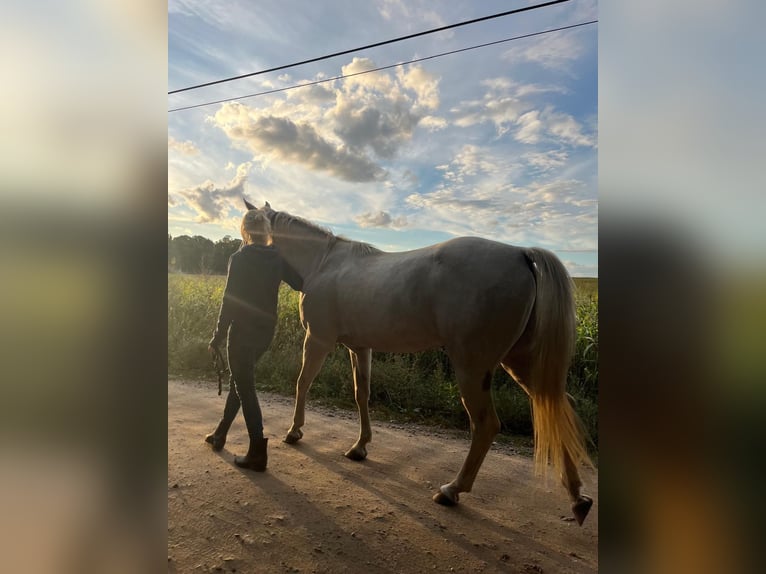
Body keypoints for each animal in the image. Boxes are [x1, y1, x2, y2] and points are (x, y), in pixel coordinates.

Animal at [244, 199, 592, 528]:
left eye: (248, 232)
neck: (323, 262)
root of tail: (520, 253)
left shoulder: (318, 340)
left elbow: (302, 383)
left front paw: (294, 431)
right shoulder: (360, 348)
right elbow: (361, 394)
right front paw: (360, 446)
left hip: (472, 368)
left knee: (486, 424)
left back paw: (452, 489)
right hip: (521, 362)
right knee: (556, 405)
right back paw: (577, 497)